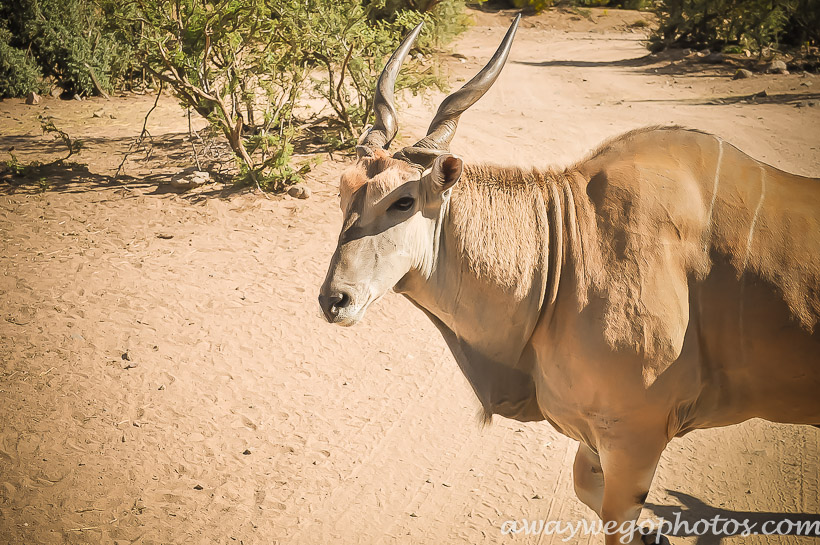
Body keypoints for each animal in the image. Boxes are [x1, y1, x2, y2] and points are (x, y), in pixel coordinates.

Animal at [318, 17, 820, 544]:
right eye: (344, 193)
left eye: (403, 201)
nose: (335, 300)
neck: (570, 243)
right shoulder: (596, 437)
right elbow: (586, 489)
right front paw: (656, 533)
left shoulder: (634, 436)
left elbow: (616, 521)